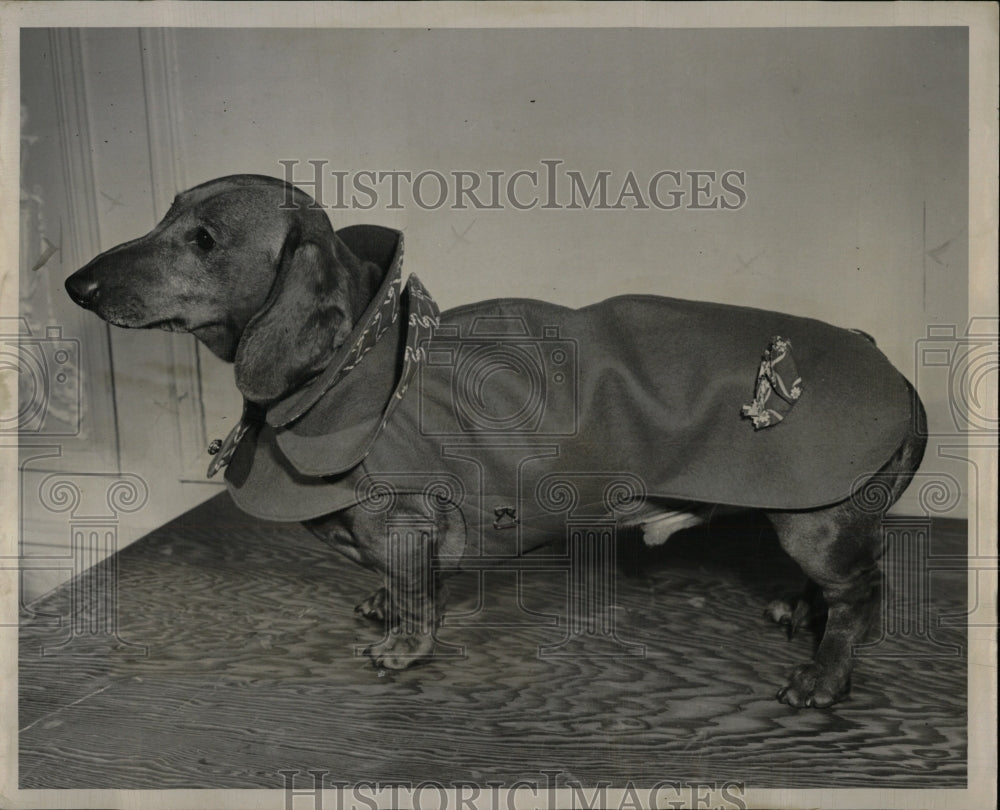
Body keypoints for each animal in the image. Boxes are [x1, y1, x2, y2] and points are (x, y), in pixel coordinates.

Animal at [68, 174, 928, 704]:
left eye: (204, 239)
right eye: (165, 213)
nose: (76, 284)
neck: (359, 366)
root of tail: (895, 375)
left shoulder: (405, 522)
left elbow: (420, 600)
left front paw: (403, 646)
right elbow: (402, 587)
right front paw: (381, 604)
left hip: (816, 521)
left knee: (862, 594)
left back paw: (825, 677)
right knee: (836, 590)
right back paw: (799, 613)